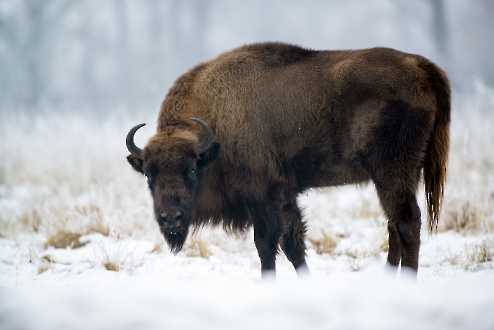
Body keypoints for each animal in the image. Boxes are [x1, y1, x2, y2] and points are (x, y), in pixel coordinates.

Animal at [125, 42, 450, 278]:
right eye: (149, 175)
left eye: (192, 169)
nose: (170, 218)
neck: (216, 127)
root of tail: (419, 66)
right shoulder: (285, 196)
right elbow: (293, 244)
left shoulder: (263, 197)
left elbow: (267, 245)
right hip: (400, 176)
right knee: (394, 225)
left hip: (392, 173)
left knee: (406, 223)